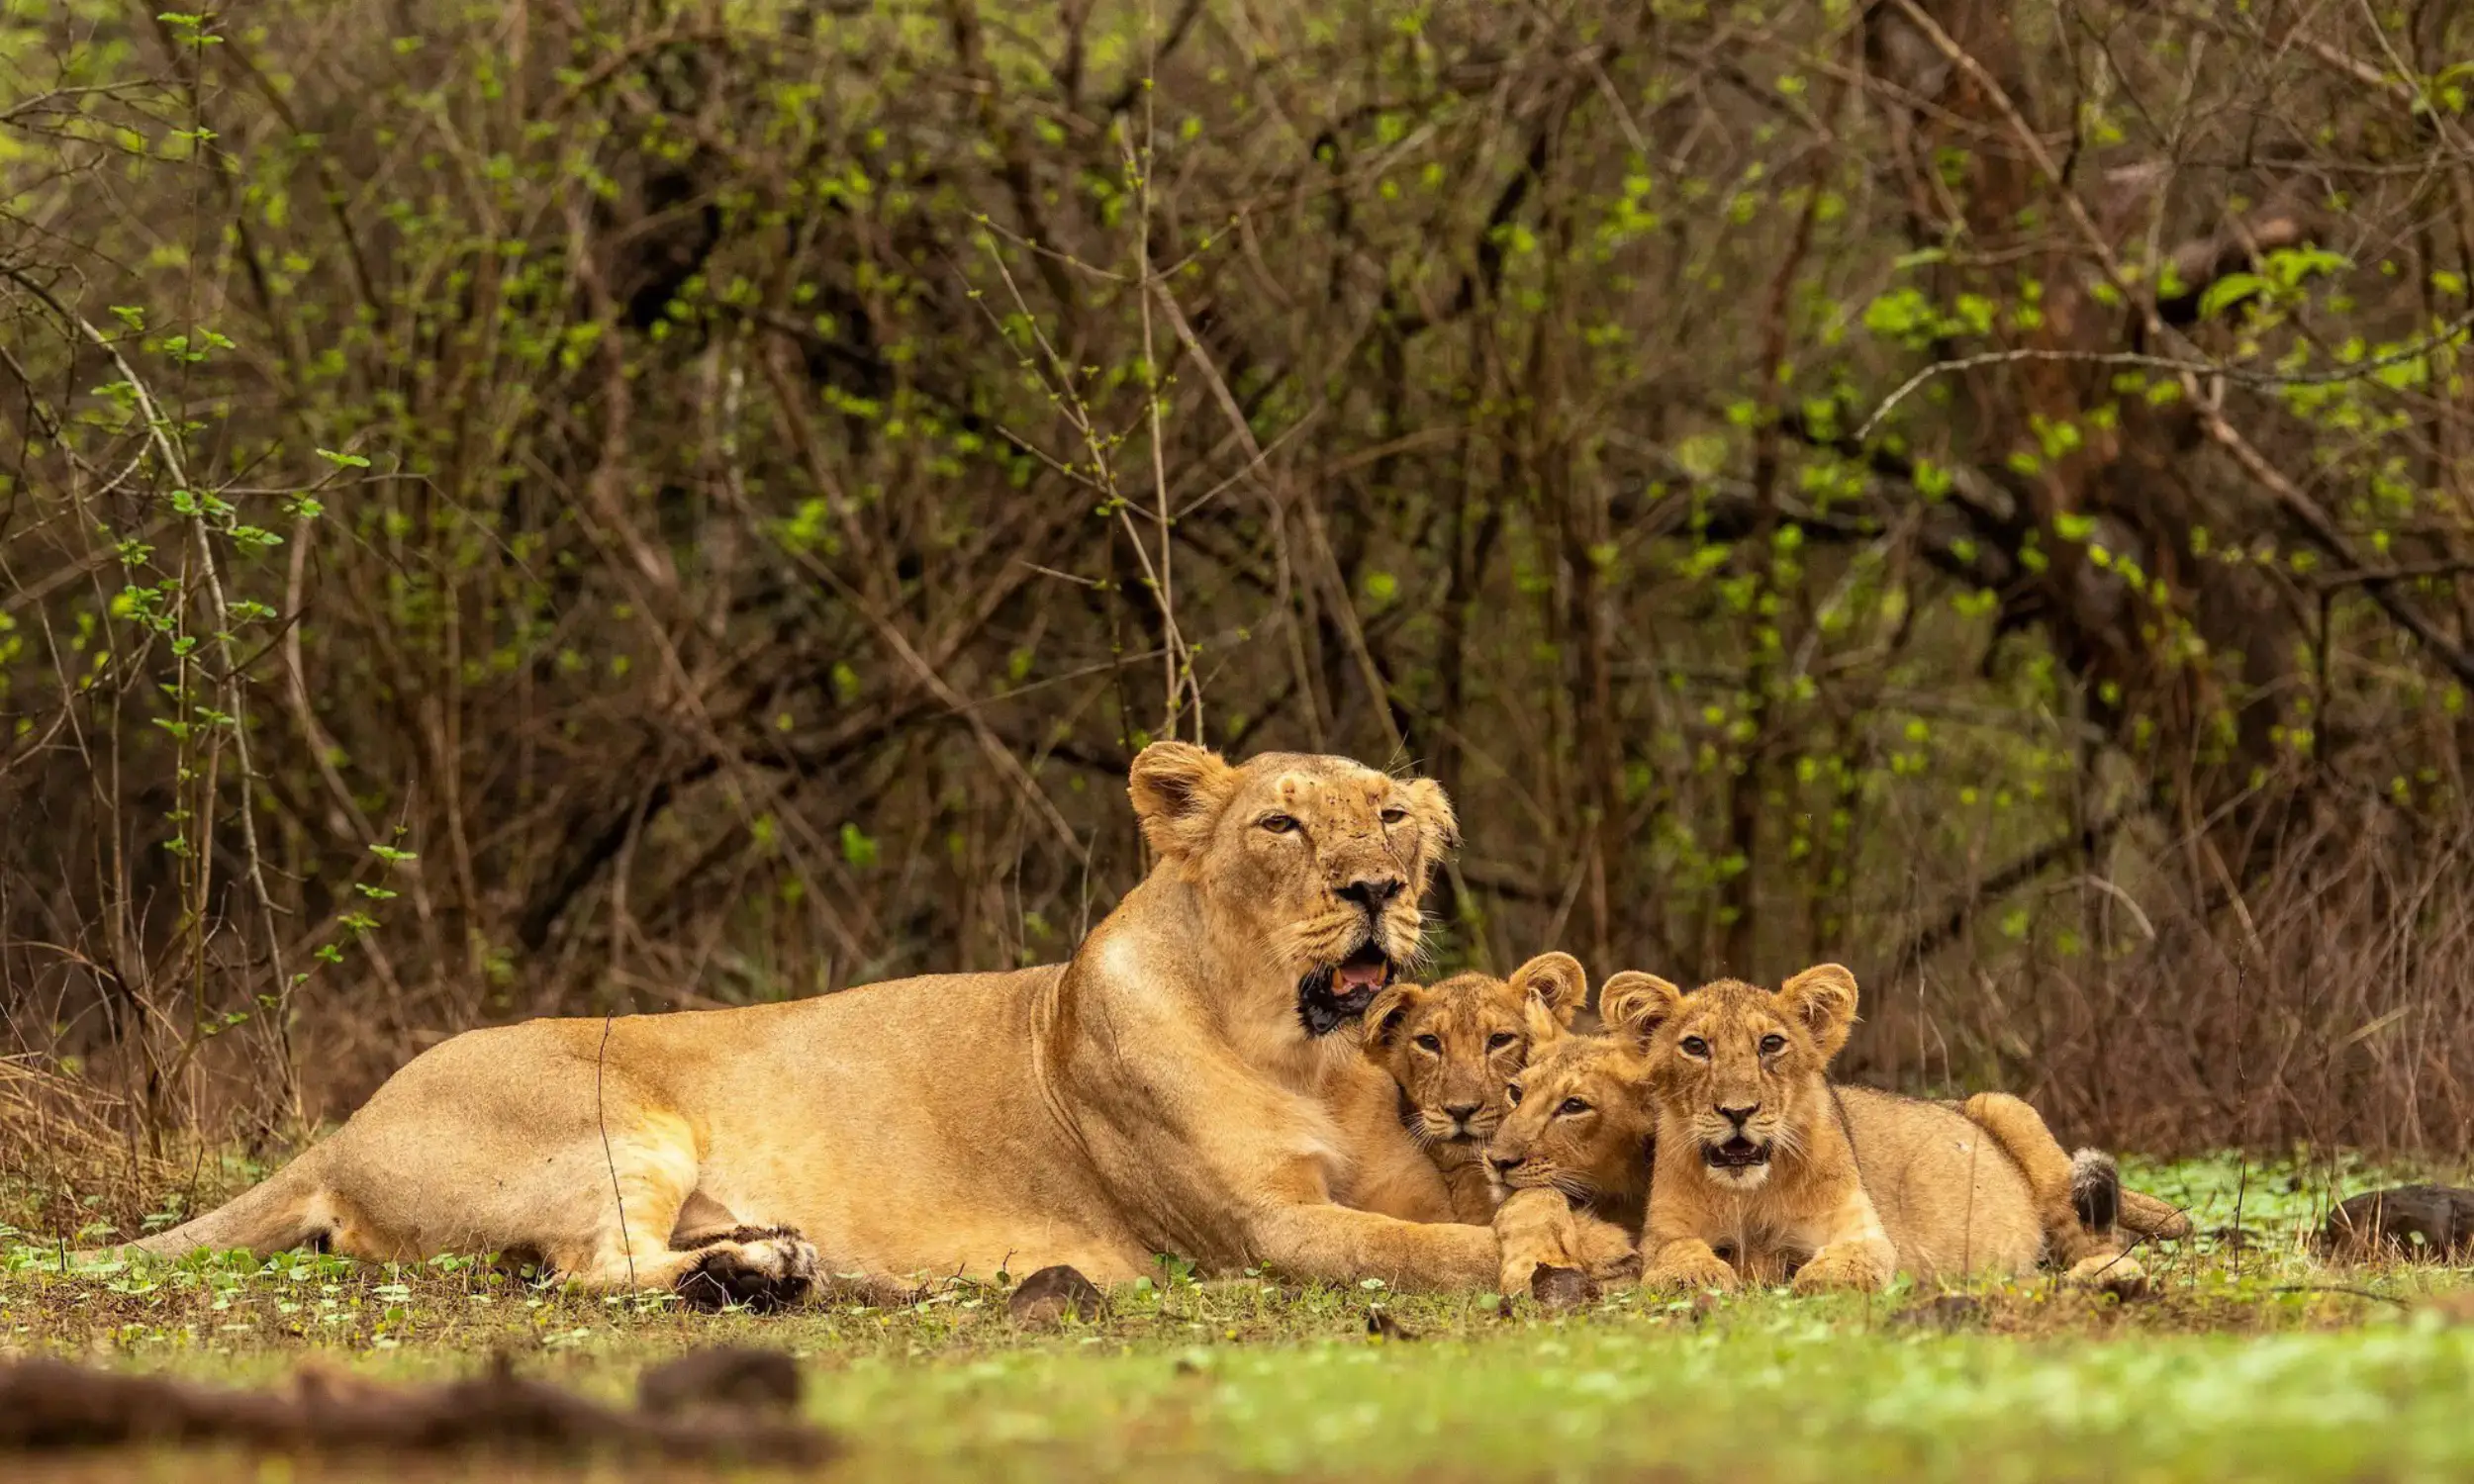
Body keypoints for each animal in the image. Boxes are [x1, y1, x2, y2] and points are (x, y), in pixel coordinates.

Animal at [77, 744, 1506, 1302]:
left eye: (1389, 816)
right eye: (1280, 824)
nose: (1374, 890)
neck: (1303, 1052)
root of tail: (343, 1125)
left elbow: (1454, 1215)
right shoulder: (1265, 1234)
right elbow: (1429, 1249)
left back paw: (778, 1257)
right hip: (616, 1121)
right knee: (588, 1269)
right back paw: (761, 1276)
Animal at [1601, 965, 2181, 1295]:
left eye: (1771, 1044)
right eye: (1695, 1046)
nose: (1737, 1111)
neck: (1751, 1193)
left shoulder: (1863, 1230)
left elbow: (1849, 1262)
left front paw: (1814, 1278)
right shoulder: (1667, 1231)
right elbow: (1675, 1254)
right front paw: (1702, 1274)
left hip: (2015, 1115)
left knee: (2101, 1243)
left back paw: (2101, 1278)